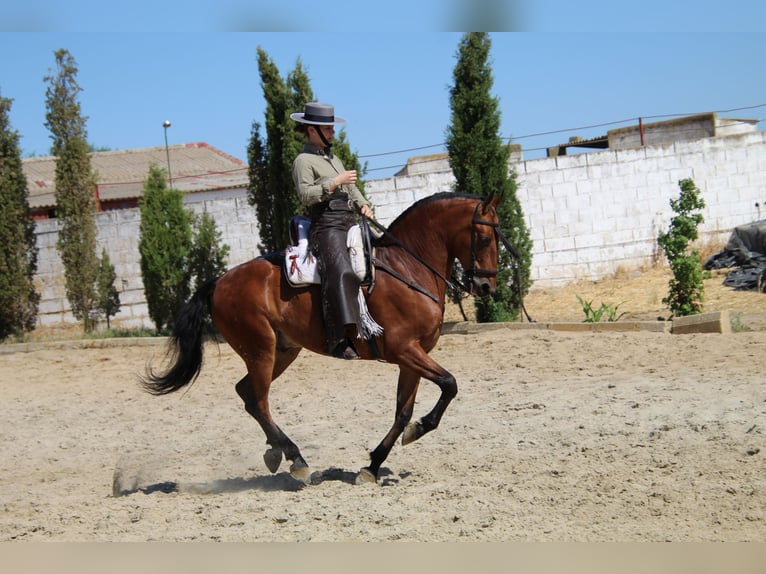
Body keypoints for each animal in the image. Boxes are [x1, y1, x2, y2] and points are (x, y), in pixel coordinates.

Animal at [142, 194, 504, 486]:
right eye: (485, 238)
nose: (487, 287)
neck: (408, 268)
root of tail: (218, 282)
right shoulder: (405, 350)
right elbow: (449, 384)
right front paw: (418, 429)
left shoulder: (413, 357)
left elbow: (403, 413)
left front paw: (373, 465)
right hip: (261, 350)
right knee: (258, 400)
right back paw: (296, 459)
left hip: (283, 351)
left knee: (246, 393)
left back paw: (277, 451)